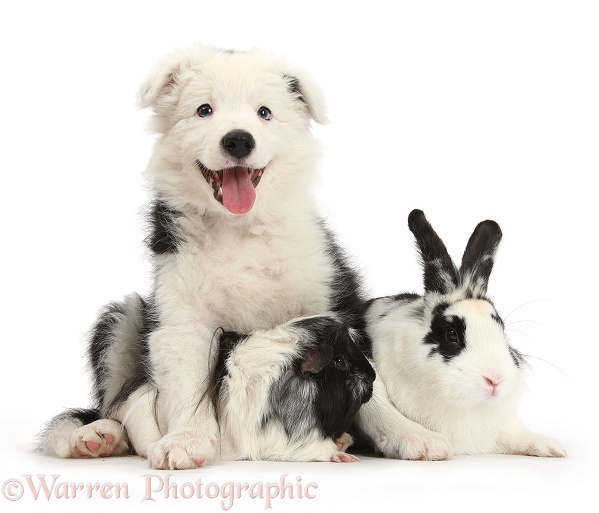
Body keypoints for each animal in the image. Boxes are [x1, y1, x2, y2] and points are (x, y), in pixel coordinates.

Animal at [36, 46, 450, 466]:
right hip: (124, 319)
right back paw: (97, 435)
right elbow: (188, 385)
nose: (238, 141)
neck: (241, 228)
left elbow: (372, 383)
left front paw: (407, 433)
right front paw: (187, 439)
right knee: (120, 401)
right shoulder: (181, 315)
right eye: (204, 110)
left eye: (264, 112)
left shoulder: (333, 293)